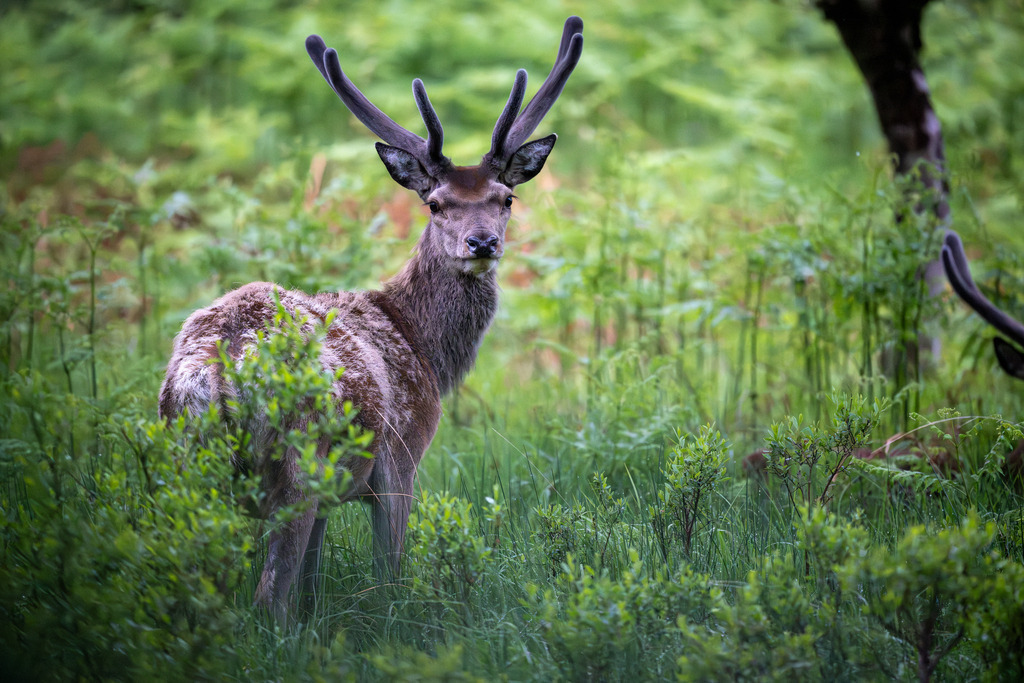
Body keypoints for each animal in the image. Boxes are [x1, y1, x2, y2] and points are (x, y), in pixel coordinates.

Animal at [158, 16, 584, 622]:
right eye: (435, 203)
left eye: (506, 198)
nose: (482, 242)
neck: (424, 348)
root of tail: (215, 375)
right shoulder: (402, 456)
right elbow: (390, 573)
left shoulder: (333, 497)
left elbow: (313, 582)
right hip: (298, 463)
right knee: (269, 597)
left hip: (183, 461)